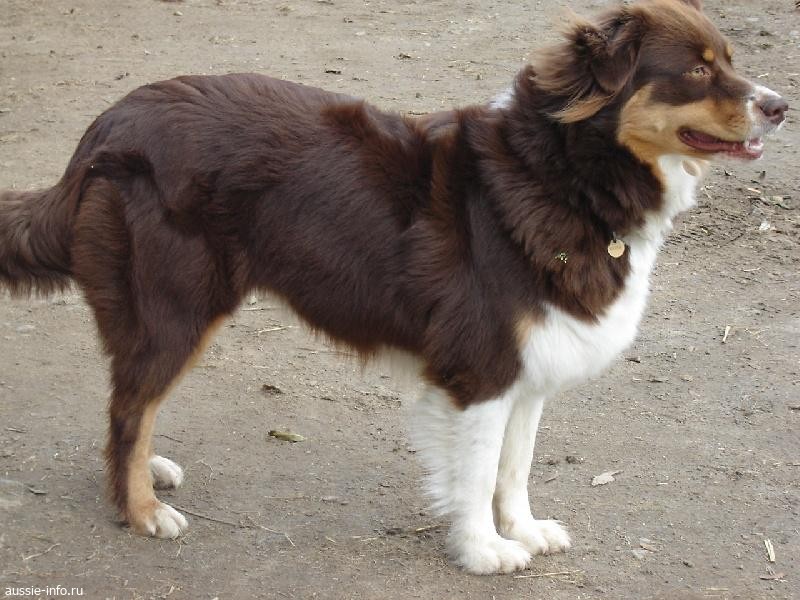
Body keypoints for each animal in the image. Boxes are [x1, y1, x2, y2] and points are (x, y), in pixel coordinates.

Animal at [0, 0, 787, 574]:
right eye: (696, 71)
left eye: (731, 60)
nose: (780, 105)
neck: (564, 175)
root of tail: (107, 125)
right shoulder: (481, 367)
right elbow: (476, 472)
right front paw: (484, 551)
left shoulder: (530, 364)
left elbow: (515, 467)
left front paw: (524, 530)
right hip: (176, 307)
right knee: (128, 409)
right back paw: (138, 509)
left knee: (133, 403)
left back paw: (148, 475)